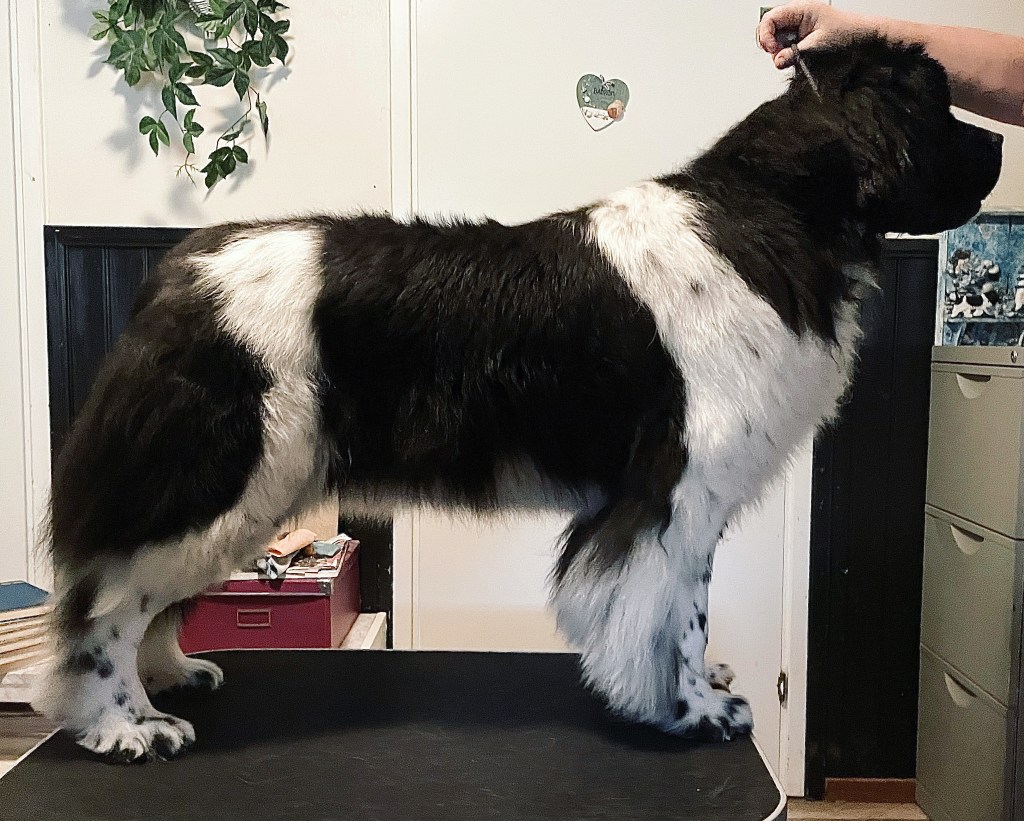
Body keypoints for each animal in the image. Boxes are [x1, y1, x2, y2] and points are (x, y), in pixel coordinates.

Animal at [37, 36, 1002, 762]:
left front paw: (701, 690)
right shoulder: (671, 487)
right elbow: (674, 614)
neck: (774, 217)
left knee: (143, 595)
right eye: (937, 104)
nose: (999, 146)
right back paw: (125, 723)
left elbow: (687, 602)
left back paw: (169, 674)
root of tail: (175, 273)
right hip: (222, 473)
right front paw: (693, 710)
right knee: (105, 601)